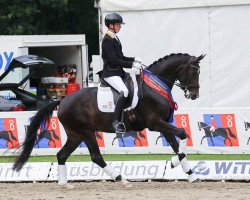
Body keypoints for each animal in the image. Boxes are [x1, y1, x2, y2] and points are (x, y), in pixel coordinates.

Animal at [13, 53, 205, 188]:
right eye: (193, 71)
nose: (195, 94)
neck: (155, 86)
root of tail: (62, 100)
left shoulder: (163, 124)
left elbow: (178, 146)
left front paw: (191, 174)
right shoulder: (155, 123)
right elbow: (183, 134)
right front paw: (174, 164)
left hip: (75, 134)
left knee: (62, 154)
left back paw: (64, 184)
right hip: (86, 132)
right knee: (96, 156)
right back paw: (121, 179)